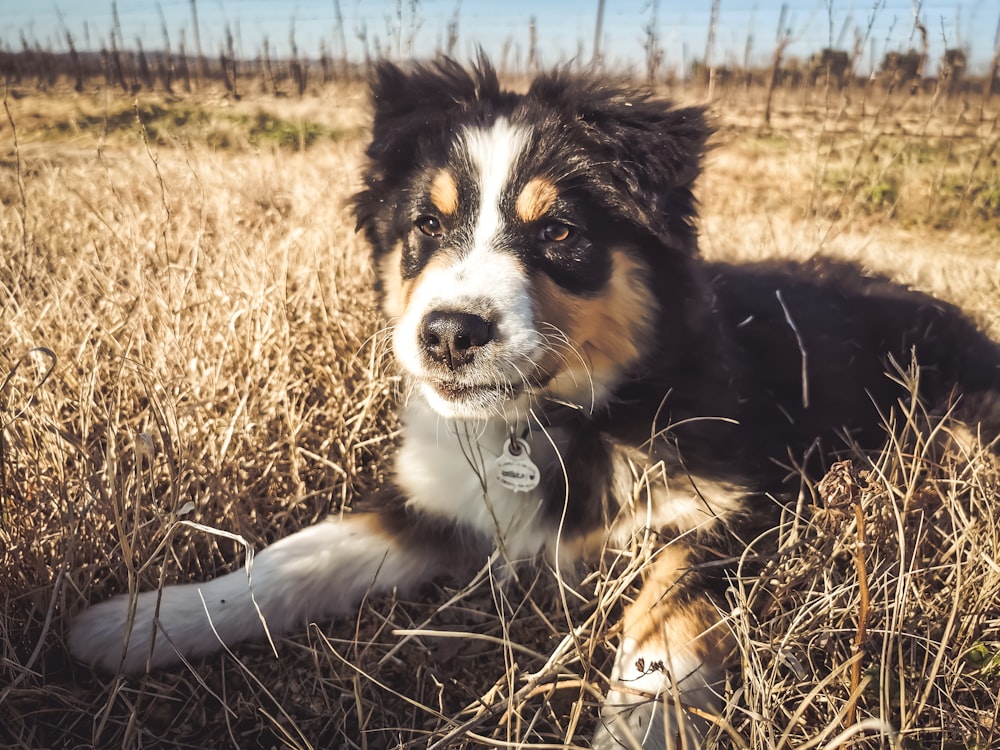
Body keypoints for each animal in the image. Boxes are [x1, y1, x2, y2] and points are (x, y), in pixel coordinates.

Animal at [68, 55, 1000, 748]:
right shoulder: (437, 497)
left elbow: (662, 622)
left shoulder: (733, 511)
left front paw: (638, 725)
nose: (448, 334)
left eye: (559, 233)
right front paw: (145, 622)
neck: (547, 420)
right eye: (427, 226)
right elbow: (297, 556)